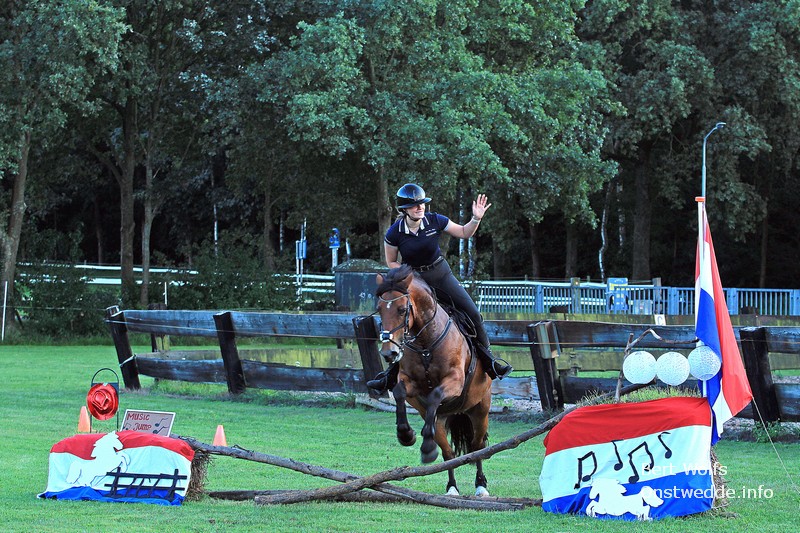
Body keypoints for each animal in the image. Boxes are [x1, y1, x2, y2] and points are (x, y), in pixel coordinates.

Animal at [375, 264, 493, 497]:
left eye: (402, 310)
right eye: (380, 310)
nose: (389, 353)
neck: (426, 342)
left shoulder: (455, 381)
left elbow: (435, 394)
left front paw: (421, 441)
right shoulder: (409, 382)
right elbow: (400, 392)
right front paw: (406, 435)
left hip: (480, 411)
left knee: (477, 447)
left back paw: (481, 486)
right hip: (443, 420)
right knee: (448, 453)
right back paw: (451, 486)